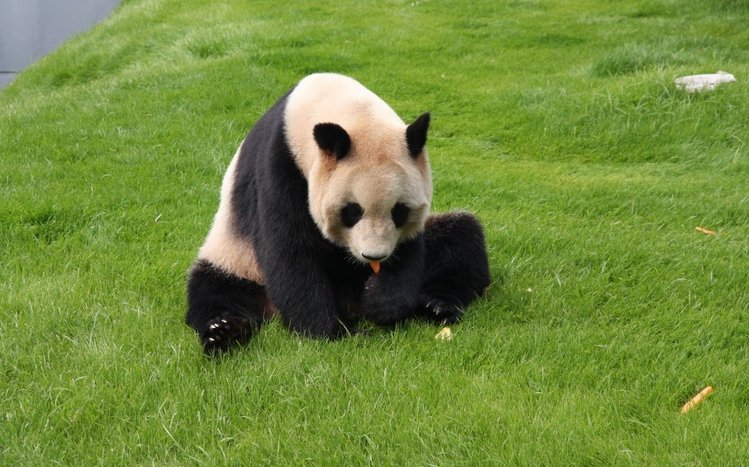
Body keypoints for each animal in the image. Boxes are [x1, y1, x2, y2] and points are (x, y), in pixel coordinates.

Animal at [186, 73, 490, 354]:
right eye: (352, 211)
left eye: (399, 211)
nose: (374, 257)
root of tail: (350, 303)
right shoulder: (279, 168)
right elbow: (290, 251)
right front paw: (332, 332)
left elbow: (408, 250)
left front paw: (381, 303)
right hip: (238, 258)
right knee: (218, 291)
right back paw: (222, 332)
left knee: (461, 238)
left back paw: (437, 304)